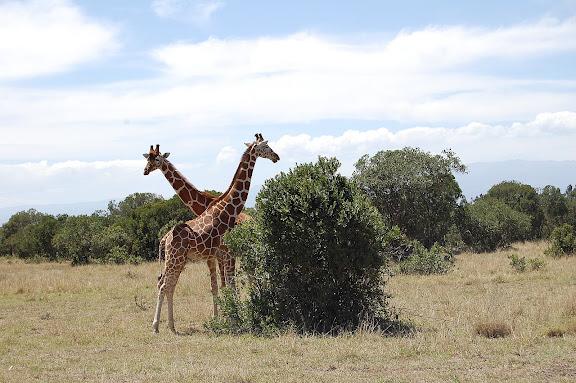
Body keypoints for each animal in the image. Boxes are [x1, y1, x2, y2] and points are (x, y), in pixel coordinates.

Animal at [153, 134, 280, 332]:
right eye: (266, 146)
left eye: (155, 159)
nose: (276, 156)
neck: (226, 207)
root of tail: (164, 238)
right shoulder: (223, 254)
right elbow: (225, 285)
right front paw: (230, 319)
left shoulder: (220, 255)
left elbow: (224, 285)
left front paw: (229, 317)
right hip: (176, 260)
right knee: (165, 285)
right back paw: (159, 326)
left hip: (179, 260)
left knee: (168, 285)